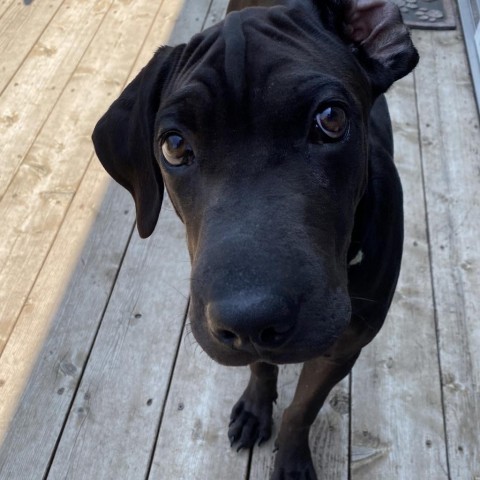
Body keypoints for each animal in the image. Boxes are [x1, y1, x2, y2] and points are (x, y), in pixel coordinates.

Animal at [93, 1, 416, 478]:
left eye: (331, 118)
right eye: (173, 146)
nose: (247, 317)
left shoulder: (343, 348)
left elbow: (304, 406)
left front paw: (292, 457)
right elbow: (261, 366)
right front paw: (255, 408)